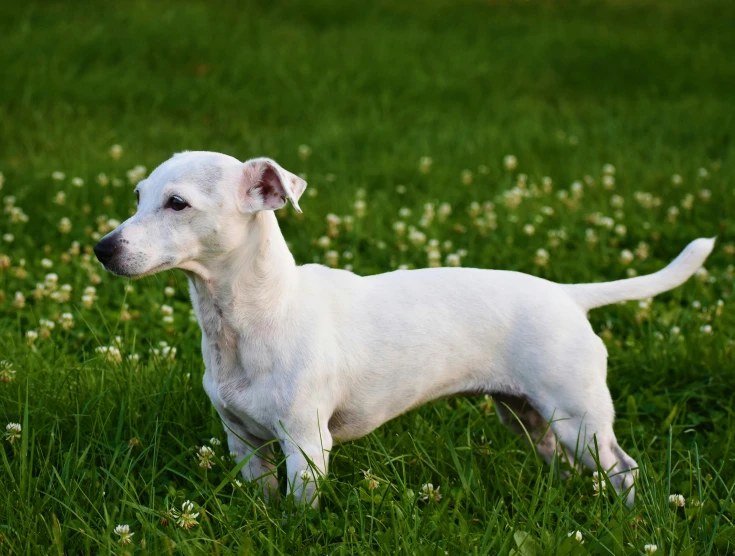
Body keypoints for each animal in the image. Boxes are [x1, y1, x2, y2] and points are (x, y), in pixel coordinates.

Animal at [92, 150, 712, 506]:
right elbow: (264, 500)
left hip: (580, 419)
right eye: (139, 197)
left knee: (624, 470)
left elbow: (300, 511)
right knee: (557, 461)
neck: (248, 319)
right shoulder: (243, 443)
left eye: (177, 204)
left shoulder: (306, 448)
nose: (102, 248)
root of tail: (569, 296)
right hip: (527, 415)